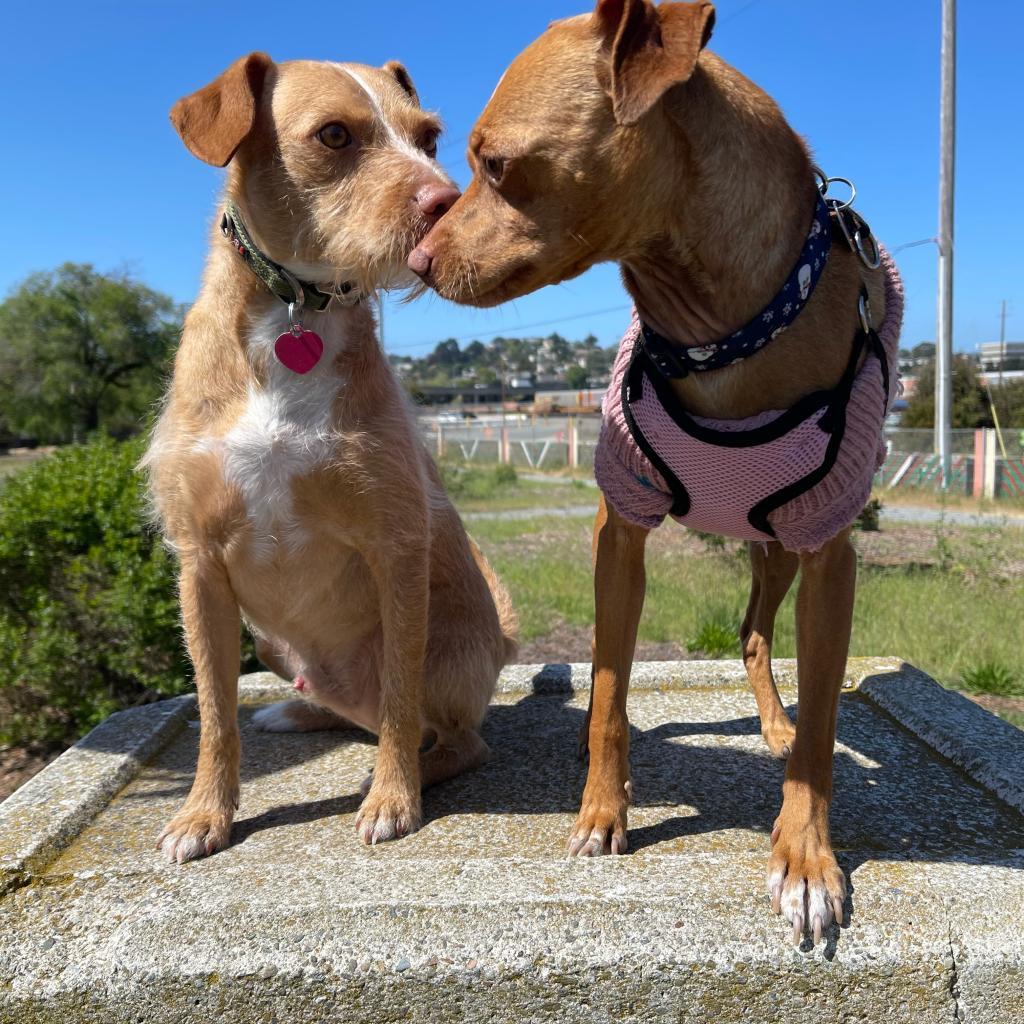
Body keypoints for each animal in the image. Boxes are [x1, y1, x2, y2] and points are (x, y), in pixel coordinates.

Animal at [148, 51, 516, 860]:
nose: (453, 205)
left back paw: (407, 766)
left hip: (424, 655)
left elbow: (404, 703)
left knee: (444, 734)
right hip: (272, 643)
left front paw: (392, 798)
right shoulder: (200, 565)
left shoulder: (395, 548)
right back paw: (297, 713)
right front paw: (203, 813)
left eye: (429, 139)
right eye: (335, 135)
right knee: (345, 712)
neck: (294, 312)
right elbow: (213, 712)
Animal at [409, 0, 897, 942]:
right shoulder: (620, 524)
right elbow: (605, 687)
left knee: (756, 634)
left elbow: (824, 723)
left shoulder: (830, 549)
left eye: (494, 164)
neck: (717, 337)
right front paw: (604, 809)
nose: (417, 262)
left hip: (778, 548)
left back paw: (775, 726)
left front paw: (806, 855)